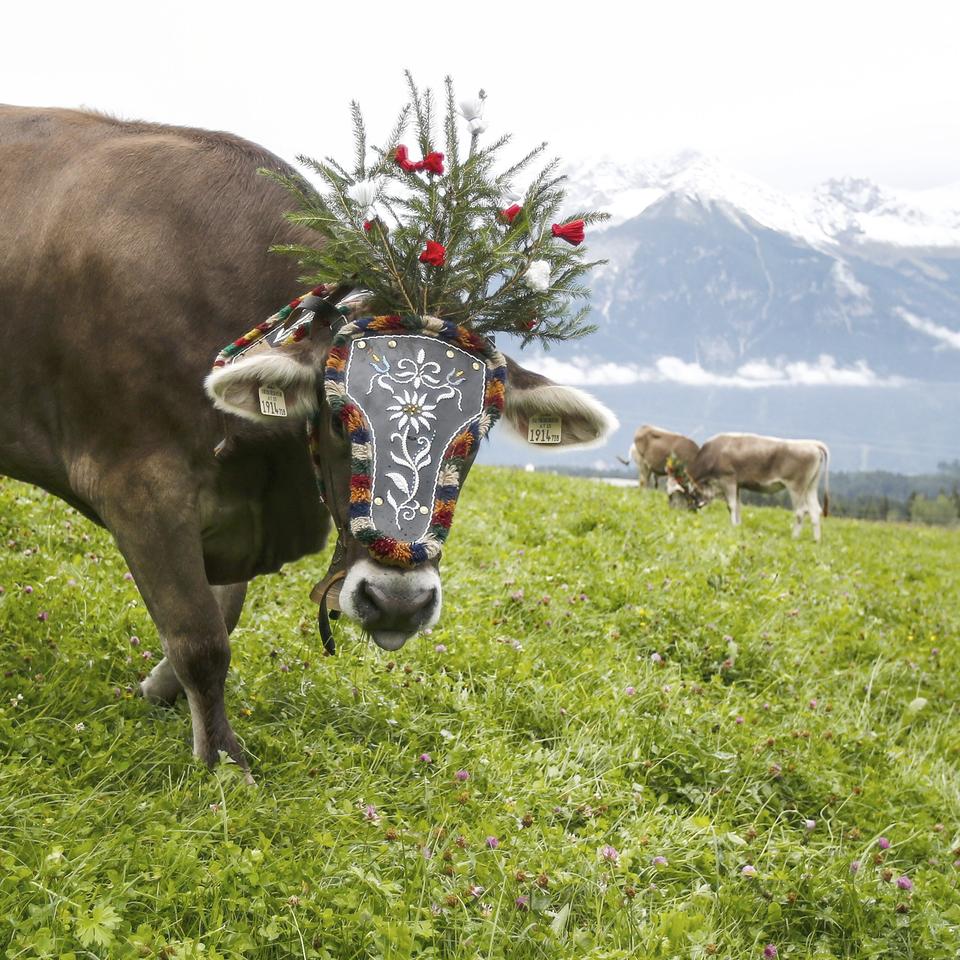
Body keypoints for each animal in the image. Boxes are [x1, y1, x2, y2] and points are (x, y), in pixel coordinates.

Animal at [676, 434, 832, 540]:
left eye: (686, 494)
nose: (688, 512)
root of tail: (812, 444)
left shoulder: (728, 480)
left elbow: (731, 506)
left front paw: (733, 525)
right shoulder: (737, 484)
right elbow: (738, 506)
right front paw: (738, 526)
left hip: (796, 486)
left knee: (801, 511)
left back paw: (794, 537)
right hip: (811, 486)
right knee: (815, 510)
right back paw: (816, 540)